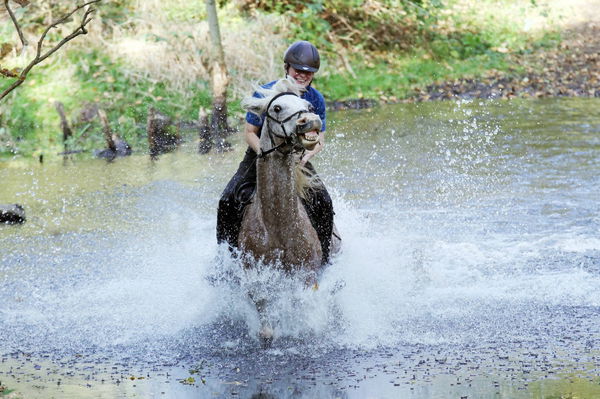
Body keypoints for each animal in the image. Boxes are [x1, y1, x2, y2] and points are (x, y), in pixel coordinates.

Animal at [239, 78, 342, 344]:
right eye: (276, 108)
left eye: (309, 106)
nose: (311, 121)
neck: (277, 226)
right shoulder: (254, 272)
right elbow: (263, 309)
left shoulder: (307, 274)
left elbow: (300, 303)